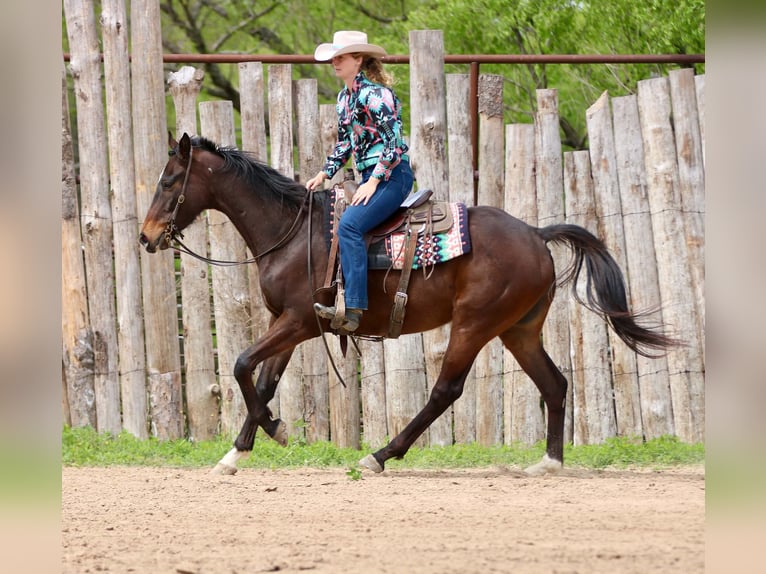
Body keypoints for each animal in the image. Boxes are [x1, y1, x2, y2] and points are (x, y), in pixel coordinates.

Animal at [139, 132, 676, 476]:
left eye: (168, 181)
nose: (146, 237)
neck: (292, 232)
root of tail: (536, 235)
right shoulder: (285, 323)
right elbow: (263, 381)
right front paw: (239, 452)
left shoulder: (300, 323)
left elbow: (240, 364)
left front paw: (273, 432)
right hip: (518, 330)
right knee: (555, 384)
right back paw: (549, 462)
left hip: (474, 325)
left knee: (445, 391)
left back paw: (380, 455)